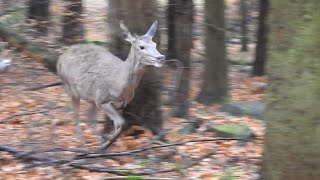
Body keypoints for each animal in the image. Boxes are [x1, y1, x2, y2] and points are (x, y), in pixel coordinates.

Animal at [56, 20, 165, 150]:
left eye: (155, 44)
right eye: (141, 46)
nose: (161, 58)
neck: (120, 86)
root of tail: (60, 58)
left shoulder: (121, 104)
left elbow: (118, 124)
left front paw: (110, 142)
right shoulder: (102, 99)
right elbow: (122, 122)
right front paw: (107, 142)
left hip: (91, 97)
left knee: (89, 116)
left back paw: (96, 141)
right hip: (71, 88)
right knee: (76, 116)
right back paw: (84, 144)